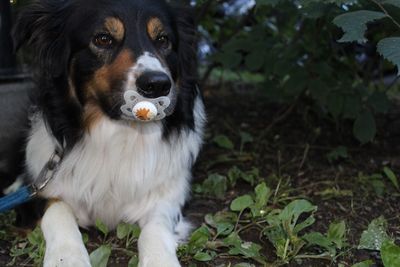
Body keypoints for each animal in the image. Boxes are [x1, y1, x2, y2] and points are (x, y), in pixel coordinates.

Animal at [0, 0, 206, 266]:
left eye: (163, 39)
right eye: (103, 39)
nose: (158, 85)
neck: (120, 132)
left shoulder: (166, 197)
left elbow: (156, 228)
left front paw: (160, 260)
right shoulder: (43, 191)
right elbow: (58, 211)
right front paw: (67, 257)